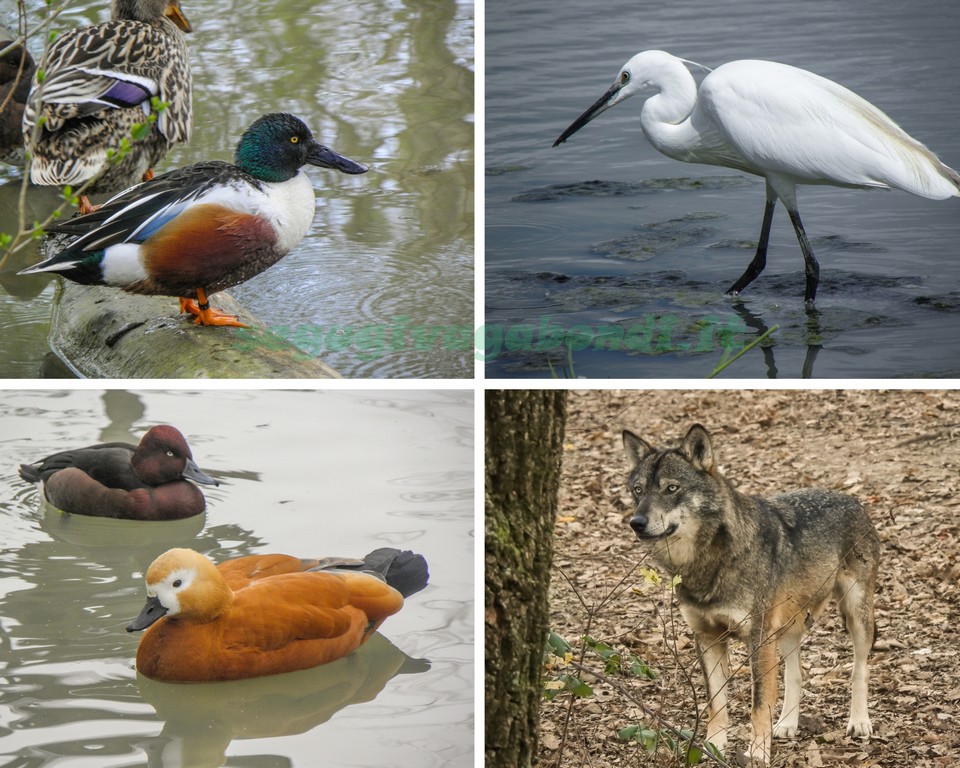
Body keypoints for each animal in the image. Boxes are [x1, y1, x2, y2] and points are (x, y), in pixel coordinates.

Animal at [624, 424, 876, 764]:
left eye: (671, 488)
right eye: (638, 491)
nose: (636, 523)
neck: (708, 561)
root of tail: (852, 499)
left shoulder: (758, 638)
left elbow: (758, 705)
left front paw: (757, 753)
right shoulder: (708, 638)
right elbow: (717, 704)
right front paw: (713, 747)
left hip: (855, 617)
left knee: (860, 670)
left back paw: (859, 722)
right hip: (786, 630)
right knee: (795, 675)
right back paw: (787, 724)